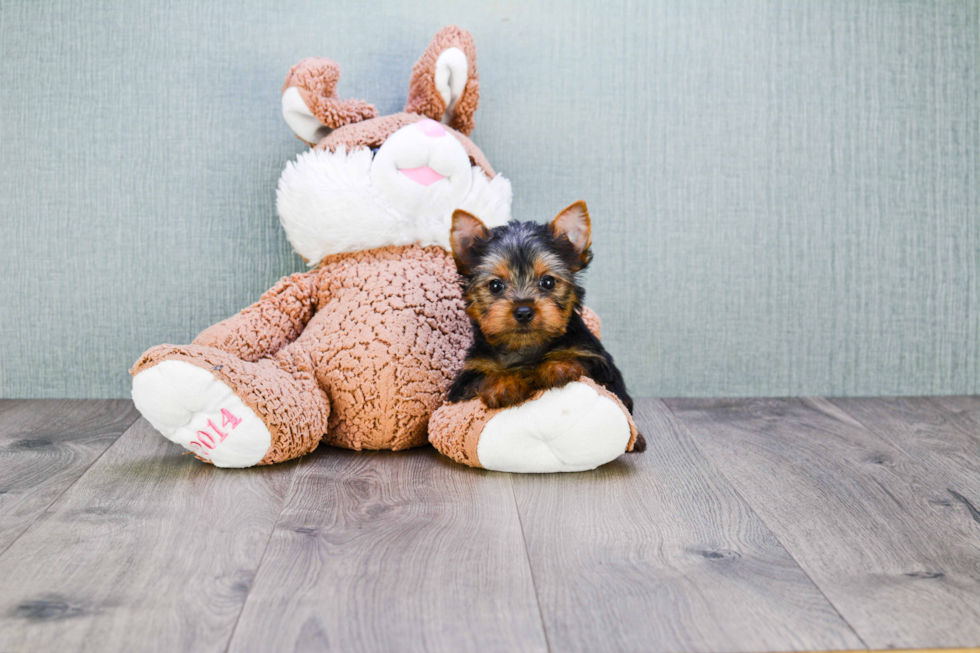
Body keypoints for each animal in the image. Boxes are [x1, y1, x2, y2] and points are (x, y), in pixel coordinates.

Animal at [446, 201, 644, 450]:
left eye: (548, 282)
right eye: (495, 286)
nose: (523, 311)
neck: (526, 348)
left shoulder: (598, 362)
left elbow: (578, 361)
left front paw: (557, 366)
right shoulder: (466, 379)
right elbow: (483, 377)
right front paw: (504, 385)